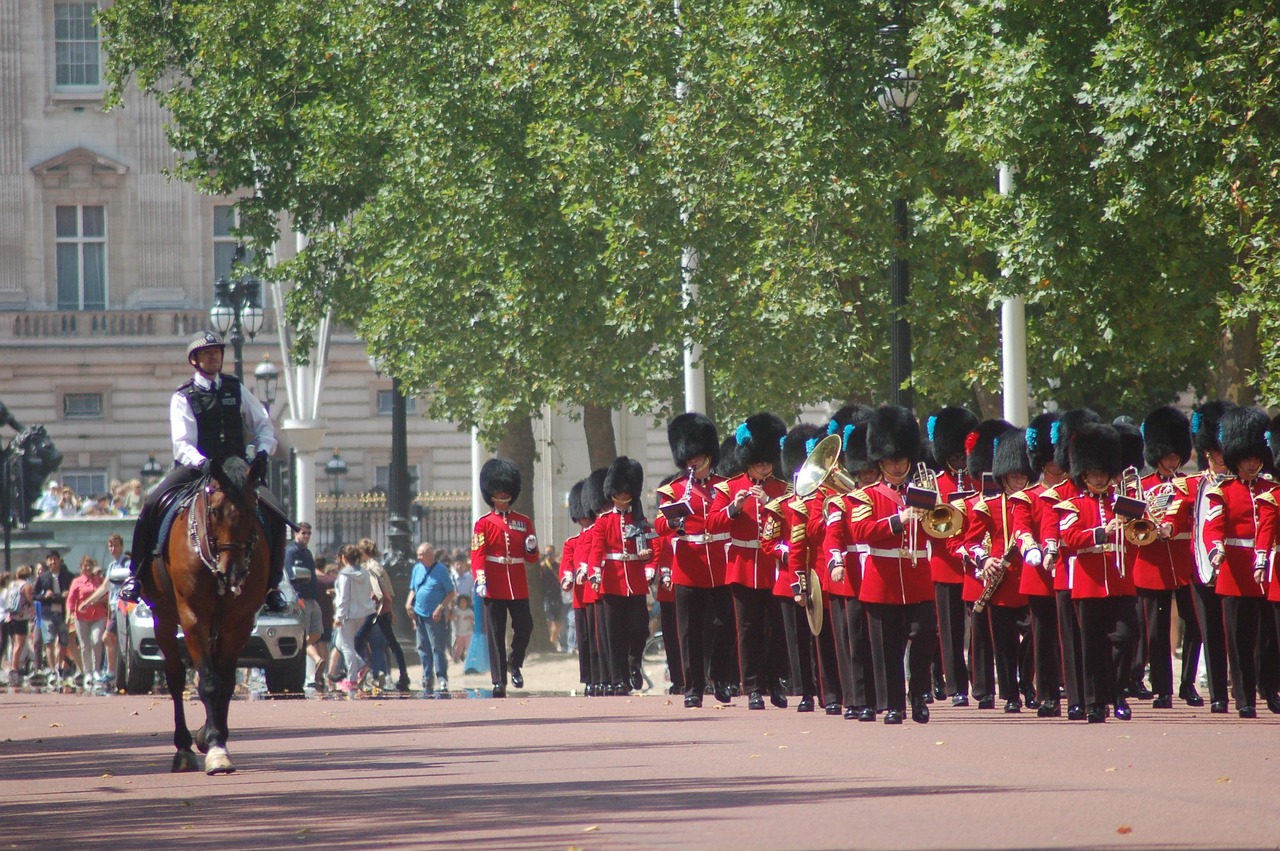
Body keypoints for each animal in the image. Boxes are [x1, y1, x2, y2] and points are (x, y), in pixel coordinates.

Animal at [144, 455, 271, 772]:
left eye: (253, 510)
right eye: (215, 511)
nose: (232, 573)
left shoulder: (238, 623)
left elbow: (225, 682)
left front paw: (216, 738)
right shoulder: (193, 617)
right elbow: (210, 682)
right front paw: (214, 746)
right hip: (163, 619)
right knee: (176, 677)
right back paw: (183, 748)